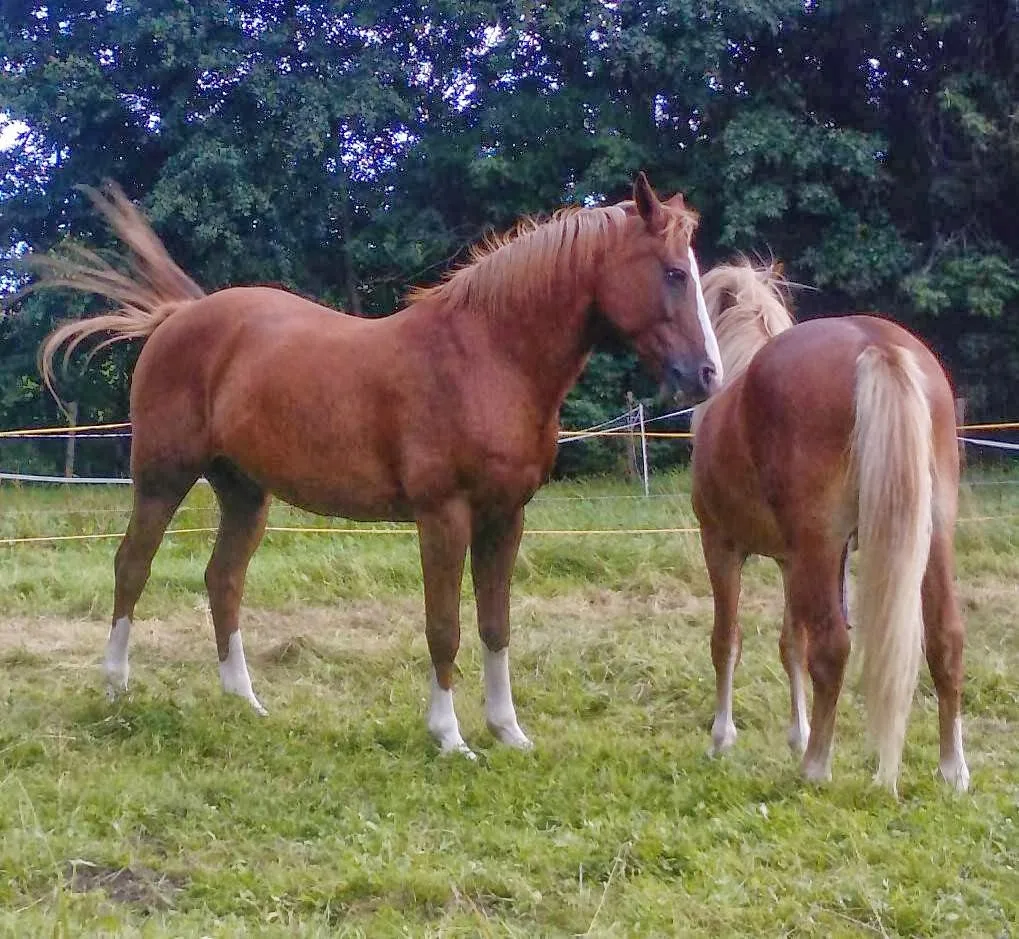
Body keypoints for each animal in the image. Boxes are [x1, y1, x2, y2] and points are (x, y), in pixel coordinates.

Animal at [34, 176, 723, 758]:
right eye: (672, 273)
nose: (708, 375)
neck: (487, 357)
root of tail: (178, 318)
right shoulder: (444, 515)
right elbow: (444, 626)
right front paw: (450, 738)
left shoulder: (506, 517)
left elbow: (495, 624)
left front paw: (508, 732)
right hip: (162, 478)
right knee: (132, 567)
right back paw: (116, 689)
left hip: (245, 494)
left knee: (222, 579)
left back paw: (245, 701)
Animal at [691, 260, 969, 794]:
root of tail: (876, 344)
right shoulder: (794, 560)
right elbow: (790, 644)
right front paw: (796, 732)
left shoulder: (722, 546)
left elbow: (726, 641)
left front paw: (721, 738)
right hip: (932, 538)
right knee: (945, 639)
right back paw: (953, 770)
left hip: (819, 544)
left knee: (833, 647)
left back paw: (816, 767)